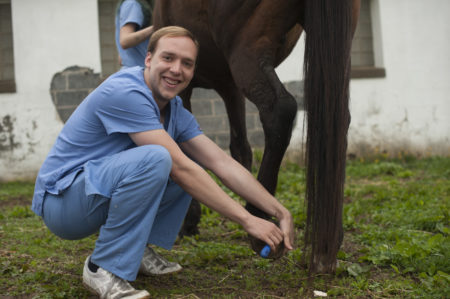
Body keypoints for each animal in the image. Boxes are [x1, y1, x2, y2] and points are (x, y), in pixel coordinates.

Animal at [153, 0, 360, 274]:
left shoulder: (184, 87)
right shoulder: (230, 87)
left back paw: (260, 218)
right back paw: (328, 240)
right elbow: (240, 148)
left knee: (280, 109)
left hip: (248, 50)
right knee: (336, 116)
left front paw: (189, 221)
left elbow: (185, 151)